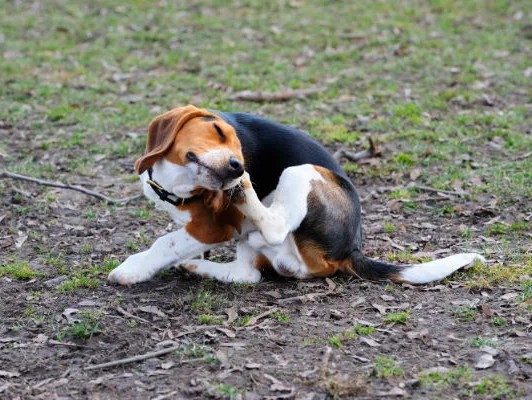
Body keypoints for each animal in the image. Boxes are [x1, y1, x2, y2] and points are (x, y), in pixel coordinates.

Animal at [107, 103, 482, 284]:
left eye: (241, 151)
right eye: (216, 130)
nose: (238, 167)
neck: (176, 182)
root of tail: (351, 248)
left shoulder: (214, 227)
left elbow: (165, 243)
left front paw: (132, 270)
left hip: (300, 172)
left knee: (273, 228)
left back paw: (245, 194)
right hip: (254, 244)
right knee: (248, 275)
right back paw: (198, 267)